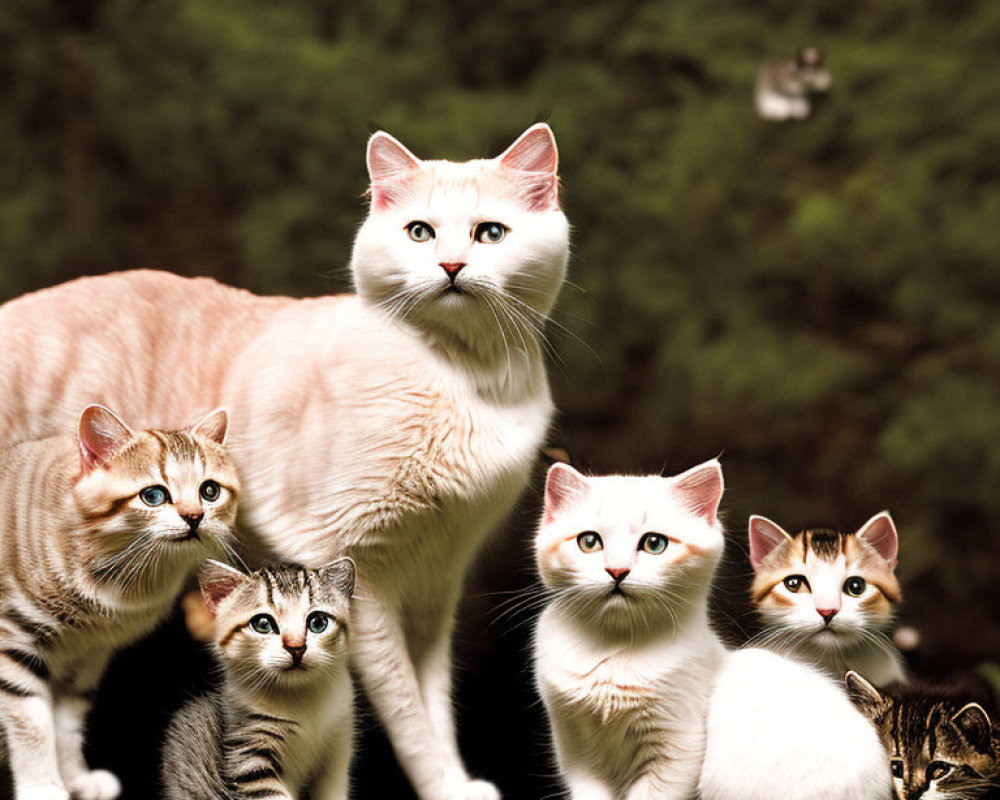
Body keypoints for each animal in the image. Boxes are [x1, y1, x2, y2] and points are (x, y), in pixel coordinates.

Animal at [0, 406, 238, 800]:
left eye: (210, 491)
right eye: (153, 496)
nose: (195, 517)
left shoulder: (88, 655)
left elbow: (67, 721)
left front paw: (76, 777)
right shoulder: (14, 641)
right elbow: (32, 724)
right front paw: (43, 786)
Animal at [167, 556, 360, 800]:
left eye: (318, 622)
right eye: (263, 624)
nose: (296, 647)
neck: (299, 698)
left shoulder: (338, 743)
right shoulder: (247, 752)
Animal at [532, 460, 728, 796]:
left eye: (654, 543)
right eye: (589, 542)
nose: (617, 570)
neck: (615, 648)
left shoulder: (676, 751)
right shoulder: (575, 747)